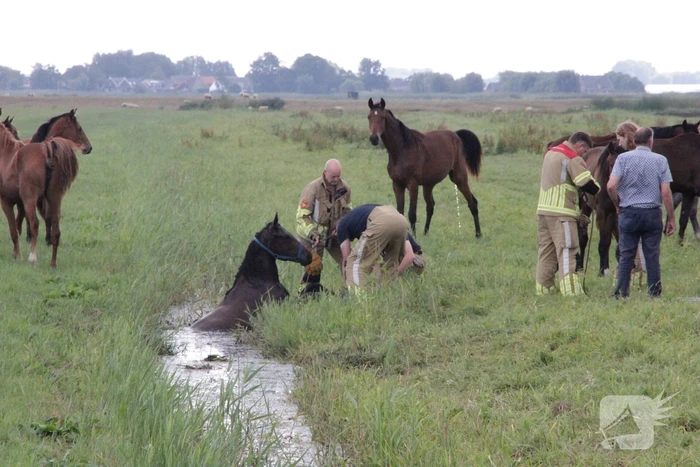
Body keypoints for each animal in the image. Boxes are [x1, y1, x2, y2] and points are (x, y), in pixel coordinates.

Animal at [0, 109, 92, 266]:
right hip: (54, 197)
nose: (89, 148)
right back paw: (52, 262)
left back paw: (33, 257)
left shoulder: (7, 202)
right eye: (79, 128)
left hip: (31, 199)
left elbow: (14, 230)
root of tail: (47, 150)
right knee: (55, 228)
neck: (6, 152)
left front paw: (17, 255)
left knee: (35, 223)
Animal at [367, 98, 483, 237]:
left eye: (383, 117)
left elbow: (412, 214)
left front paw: (414, 236)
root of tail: (457, 135)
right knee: (430, 206)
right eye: (369, 117)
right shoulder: (397, 184)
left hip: (459, 178)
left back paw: (478, 234)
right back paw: (426, 232)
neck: (402, 149)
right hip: (428, 185)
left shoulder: (412, 184)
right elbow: (400, 212)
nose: (374, 139)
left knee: (472, 202)